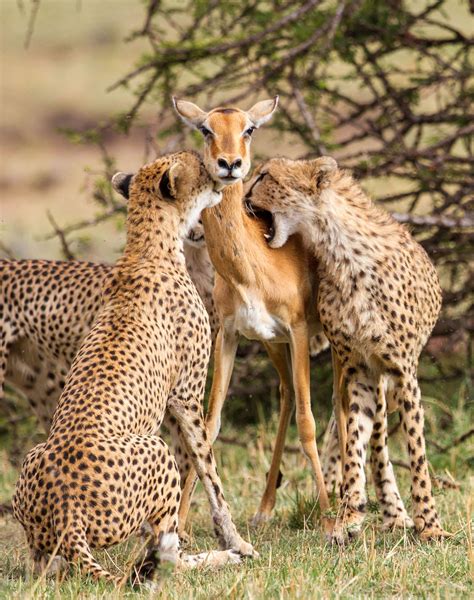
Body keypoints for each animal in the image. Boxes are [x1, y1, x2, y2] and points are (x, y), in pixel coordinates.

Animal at [12, 151, 254, 584]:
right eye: (200, 167)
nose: (224, 173)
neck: (146, 247)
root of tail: (67, 511)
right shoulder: (186, 396)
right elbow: (208, 467)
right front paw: (237, 541)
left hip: (34, 471)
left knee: (48, 567)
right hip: (154, 448)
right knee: (167, 562)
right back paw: (217, 558)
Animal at [246, 157, 450, 540]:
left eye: (265, 175)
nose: (242, 196)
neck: (339, 252)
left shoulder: (402, 371)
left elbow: (416, 451)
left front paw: (429, 525)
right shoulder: (360, 369)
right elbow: (354, 439)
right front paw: (349, 512)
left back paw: (397, 514)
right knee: (373, 439)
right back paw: (383, 509)